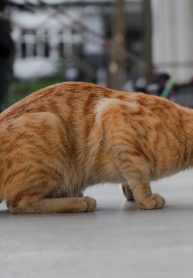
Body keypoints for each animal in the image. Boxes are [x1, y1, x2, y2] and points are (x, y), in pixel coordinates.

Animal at [0, 81, 191, 214]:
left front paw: (130, 193)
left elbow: (130, 178)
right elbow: (140, 175)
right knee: (18, 203)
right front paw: (146, 199)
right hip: (50, 124)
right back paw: (79, 203)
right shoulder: (113, 116)